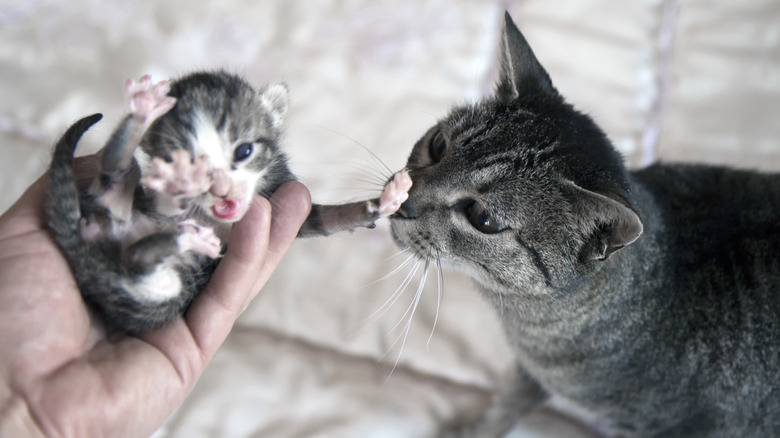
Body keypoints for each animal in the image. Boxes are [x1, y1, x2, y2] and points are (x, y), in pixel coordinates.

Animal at [45, 70, 412, 334]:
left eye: (244, 151)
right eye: (182, 160)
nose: (221, 190)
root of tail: (90, 250)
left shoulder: (285, 197)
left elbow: (328, 218)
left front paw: (386, 201)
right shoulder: (158, 202)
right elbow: (167, 205)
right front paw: (179, 182)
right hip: (152, 290)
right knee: (123, 193)